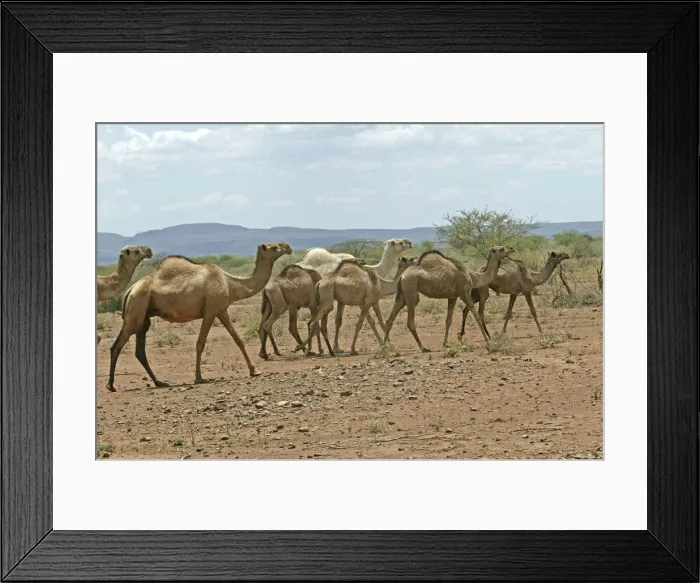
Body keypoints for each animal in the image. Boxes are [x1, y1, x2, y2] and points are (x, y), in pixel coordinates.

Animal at [106, 243, 292, 391]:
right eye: (273, 247)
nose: (288, 247)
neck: (230, 283)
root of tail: (130, 290)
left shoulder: (221, 310)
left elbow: (238, 339)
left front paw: (254, 370)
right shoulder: (210, 312)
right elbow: (200, 343)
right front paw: (199, 378)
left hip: (143, 317)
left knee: (139, 351)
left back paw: (160, 382)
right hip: (136, 309)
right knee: (117, 345)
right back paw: (111, 385)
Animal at [383, 246, 512, 352]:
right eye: (501, 249)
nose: (511, 248)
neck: (473, 276)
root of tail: (402, 277)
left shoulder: (452, 297)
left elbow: (448, 320)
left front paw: (446, 344)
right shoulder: (464, 293)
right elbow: (477, 316)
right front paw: (489, 344)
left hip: (402, 295)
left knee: (390, 319)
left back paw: (385, 347)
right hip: (411, 290)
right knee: (410, 321)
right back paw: (423, 348)